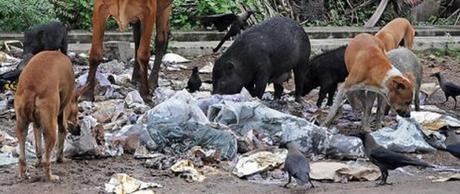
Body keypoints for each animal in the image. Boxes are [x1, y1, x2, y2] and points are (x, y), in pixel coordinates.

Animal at [14, 50, 85, 181]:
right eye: (77, 113)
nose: (79, 130)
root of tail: (31, 89)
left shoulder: (36, 124)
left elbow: (38, 147)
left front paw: (37, 162)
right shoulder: (62, 117)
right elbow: (62, 136)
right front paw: (61, 159)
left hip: (21, 125)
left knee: (22, 155)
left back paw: (24, 173)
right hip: (51, 129)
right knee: (46, 161)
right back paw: (50, 177)